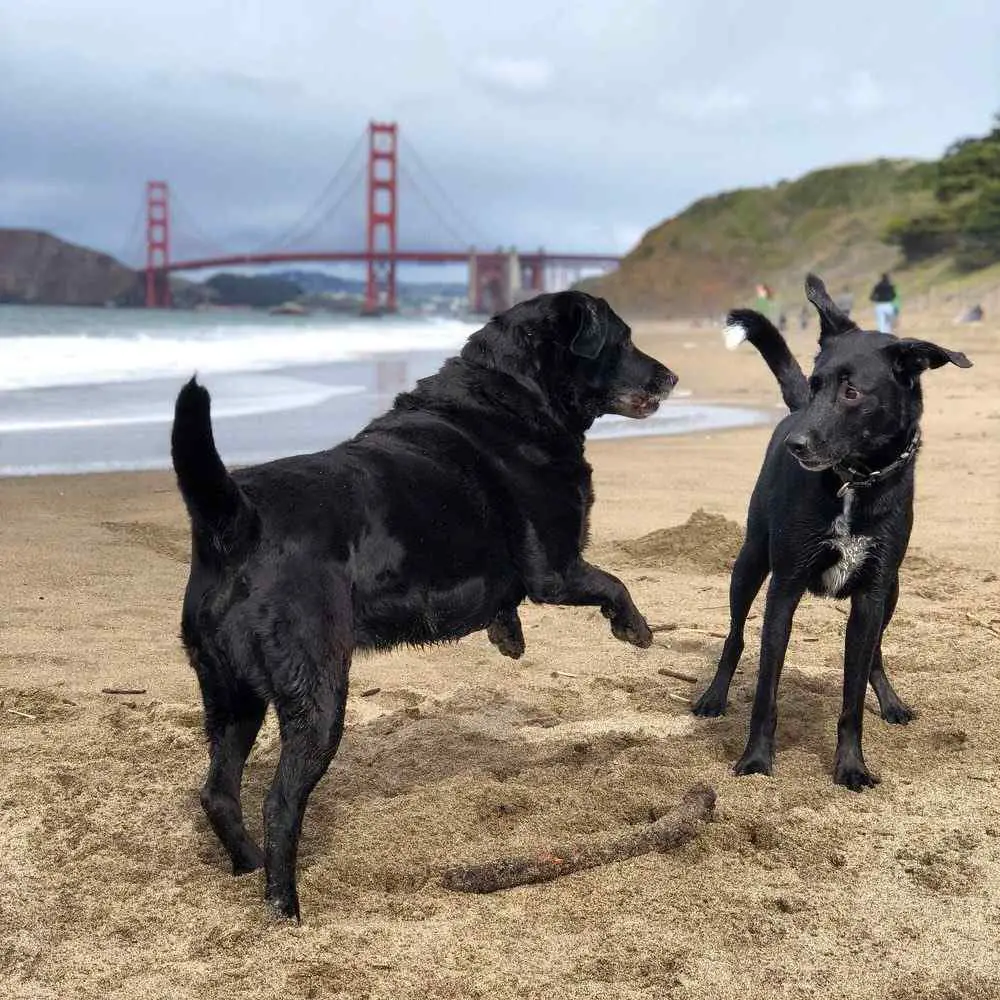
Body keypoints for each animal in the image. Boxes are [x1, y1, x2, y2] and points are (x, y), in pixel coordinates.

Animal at [696, 272, 968, 788]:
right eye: (816, 384)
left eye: (852, 392)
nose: (795, 444)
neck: (853, 482)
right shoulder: (784, 588)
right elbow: (766, 691)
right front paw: (756, 759)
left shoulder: (873, 593)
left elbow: (853, 695)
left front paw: (852, 766)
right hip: (749, 562)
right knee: (735, 635)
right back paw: (714, 697)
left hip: (894, 590)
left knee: (877, 651)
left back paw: (891, 701)